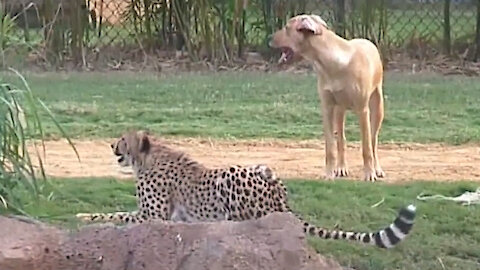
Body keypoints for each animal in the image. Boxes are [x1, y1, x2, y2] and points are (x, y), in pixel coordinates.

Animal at [76, 131, 416, 249]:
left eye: (123, 139)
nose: (112, 146)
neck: (150, 157)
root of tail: (282, 201)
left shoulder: (152, 216)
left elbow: (115, 215)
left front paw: (84, 217)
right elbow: (115, 211)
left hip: (232, 176)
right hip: (262, 165)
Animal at [270, 13, 386, 181]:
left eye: (286, 28)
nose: (269, 37)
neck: (334, 62)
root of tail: (366, 40)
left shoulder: (362, 110)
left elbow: (367, 147)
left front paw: (369, 173)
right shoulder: (327, 108)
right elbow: (330, 147)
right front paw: (329, 174)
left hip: (378, 106)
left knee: (373, 140)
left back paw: (377, 168)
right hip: (339, 111)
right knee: (341, 139)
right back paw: (341, 167)